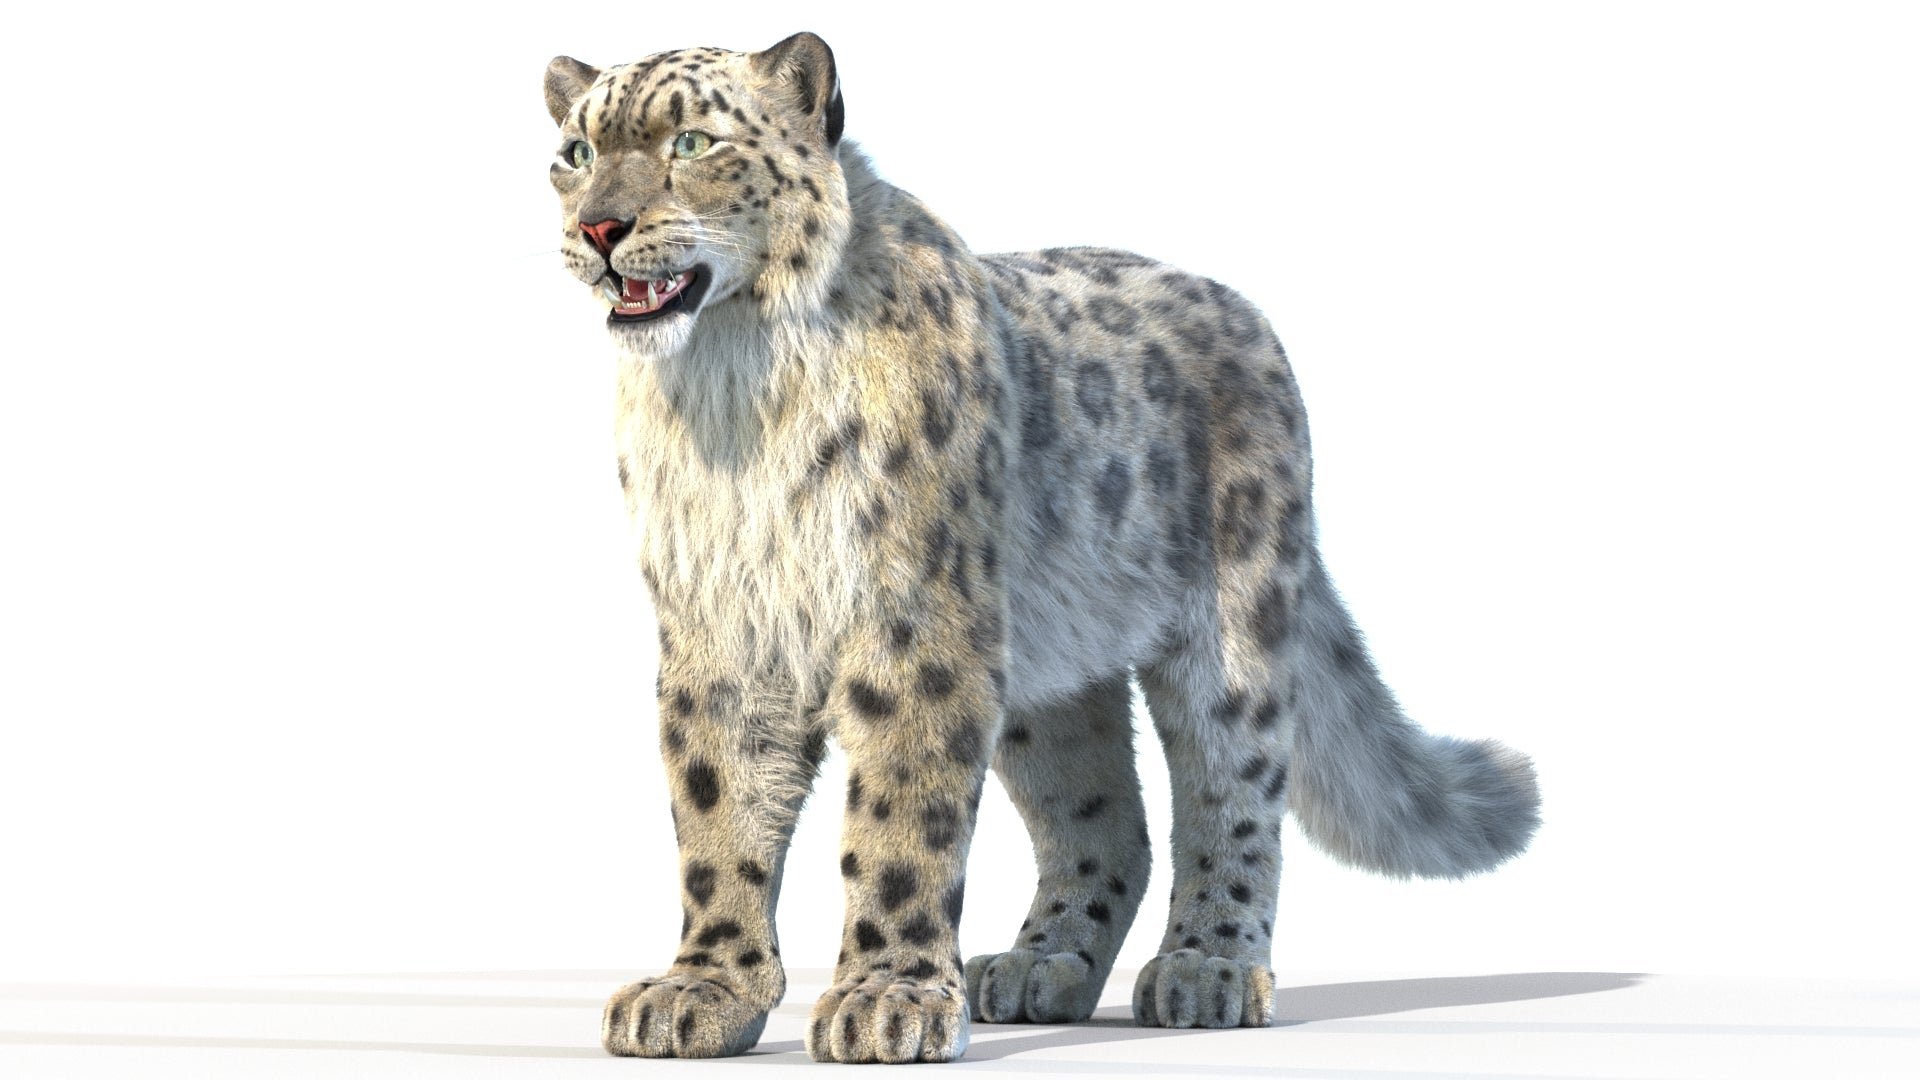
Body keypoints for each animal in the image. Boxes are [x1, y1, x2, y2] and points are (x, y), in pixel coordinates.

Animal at [541, 32, 1541, 1064]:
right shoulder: (722, 630)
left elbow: (901, 822)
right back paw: (1036, 965)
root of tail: (1248, 317)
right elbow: (717, 813)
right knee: (1106, 820)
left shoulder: (914, 626)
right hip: (1048, 672)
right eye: (575, 153)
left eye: (692, 141)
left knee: (1232, 798)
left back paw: (1208, 971)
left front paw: (887, 999)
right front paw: (704, 989)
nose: (601, 228)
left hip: (1233, 630)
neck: (736, 391)